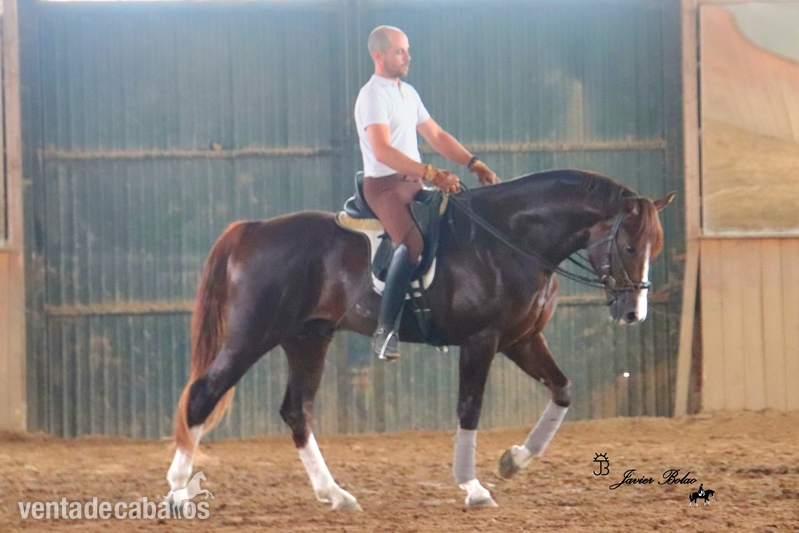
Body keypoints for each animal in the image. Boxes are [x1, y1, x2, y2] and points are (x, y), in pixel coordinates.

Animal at [166, 168, 674, 509]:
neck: (510, 238)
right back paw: (177, 492)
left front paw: (514, 461)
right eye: (630, 246)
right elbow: (469, 408)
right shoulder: (482, 340)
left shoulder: (522, 339)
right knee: (204, 394)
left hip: (307, 338)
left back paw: (335, 494)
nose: (633, 313)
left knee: (296, 410)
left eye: (655, 246)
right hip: (253, 334)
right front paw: (473, 487)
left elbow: (563, 389)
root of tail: (252, 231)